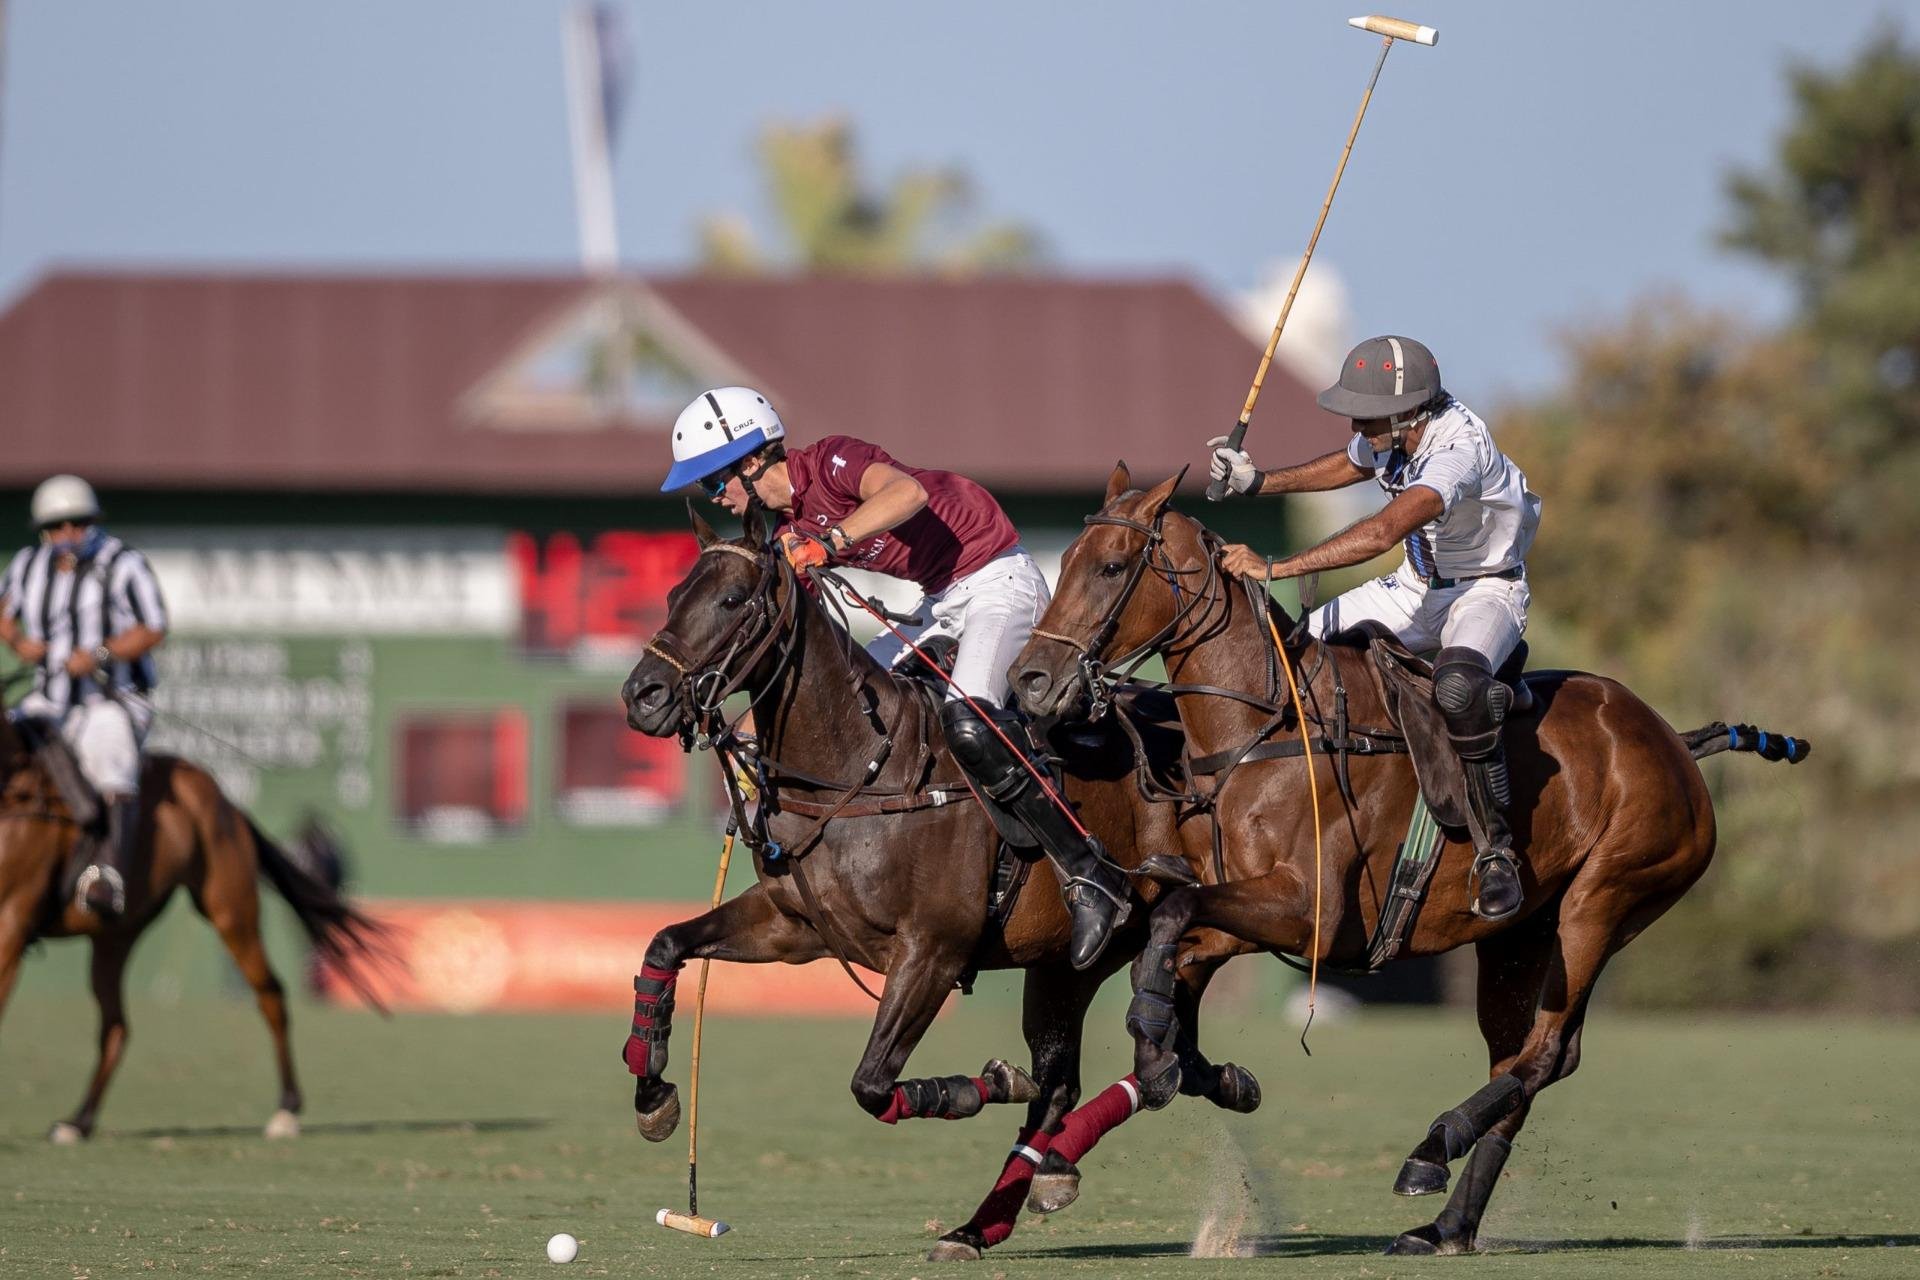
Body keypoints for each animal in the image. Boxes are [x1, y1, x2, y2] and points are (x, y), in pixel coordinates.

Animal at [0, 694, 385, 1143]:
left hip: (230, 909)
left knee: (270, 993)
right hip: (114, 935)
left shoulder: (11, 924)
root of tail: (221, 795)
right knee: (116, 1027)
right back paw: (79, 1121)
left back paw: (286, 1110)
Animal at [622, 506, 1267, 1258]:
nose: (641, 695)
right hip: (1065, 963)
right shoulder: (794, 926)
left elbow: (872, 1082)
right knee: (1087, 1074)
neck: (861, 769)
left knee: (1149, 1049)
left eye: (730, 600)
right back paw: (1016, 1198)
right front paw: (653, 1095)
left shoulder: (932, 948)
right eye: (673, 596)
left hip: (1201, 921)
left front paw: (987, 1081)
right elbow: (666, 943)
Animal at [1013, 466, 1804, 1258]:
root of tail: (1672, 739)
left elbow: (1173, 923)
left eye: (1112, 567)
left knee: (1546, 1051)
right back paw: (1446, 1222)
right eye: (1068, 558)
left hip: (1604, 900)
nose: (1029, 680)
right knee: (1526, 1055)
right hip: (1520, 937)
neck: (1264, 729)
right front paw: (1188, 1069)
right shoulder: (1245, 911)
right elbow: (1173, 959)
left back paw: (1434, 1146)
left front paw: (1159, 1054)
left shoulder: (1311, 914)